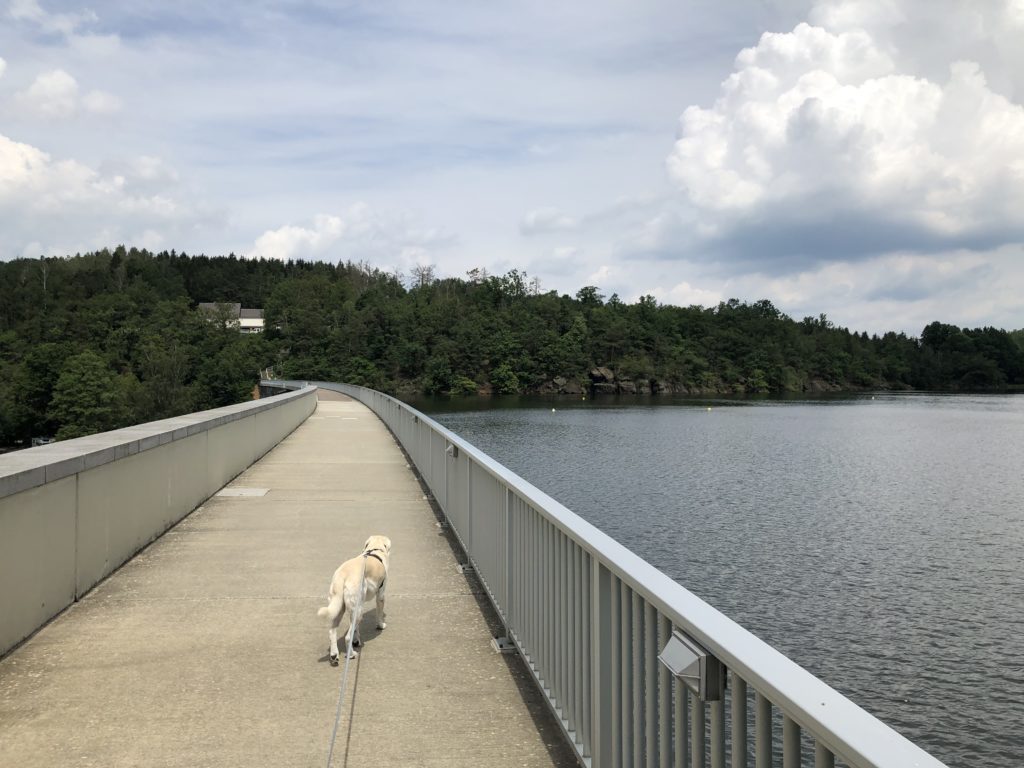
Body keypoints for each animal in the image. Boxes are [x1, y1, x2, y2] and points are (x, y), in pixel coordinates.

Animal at [317, 536, 389, 667]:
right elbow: (379, 614)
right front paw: (381, 625)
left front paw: (357, 640)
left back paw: (334, 655)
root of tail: (341, 576)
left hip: (341, 608)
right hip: (358, 610)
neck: (374, 550)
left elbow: (356, 628)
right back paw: (351, 654)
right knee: (347, 637)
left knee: (332, 632)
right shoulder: (381, 595)